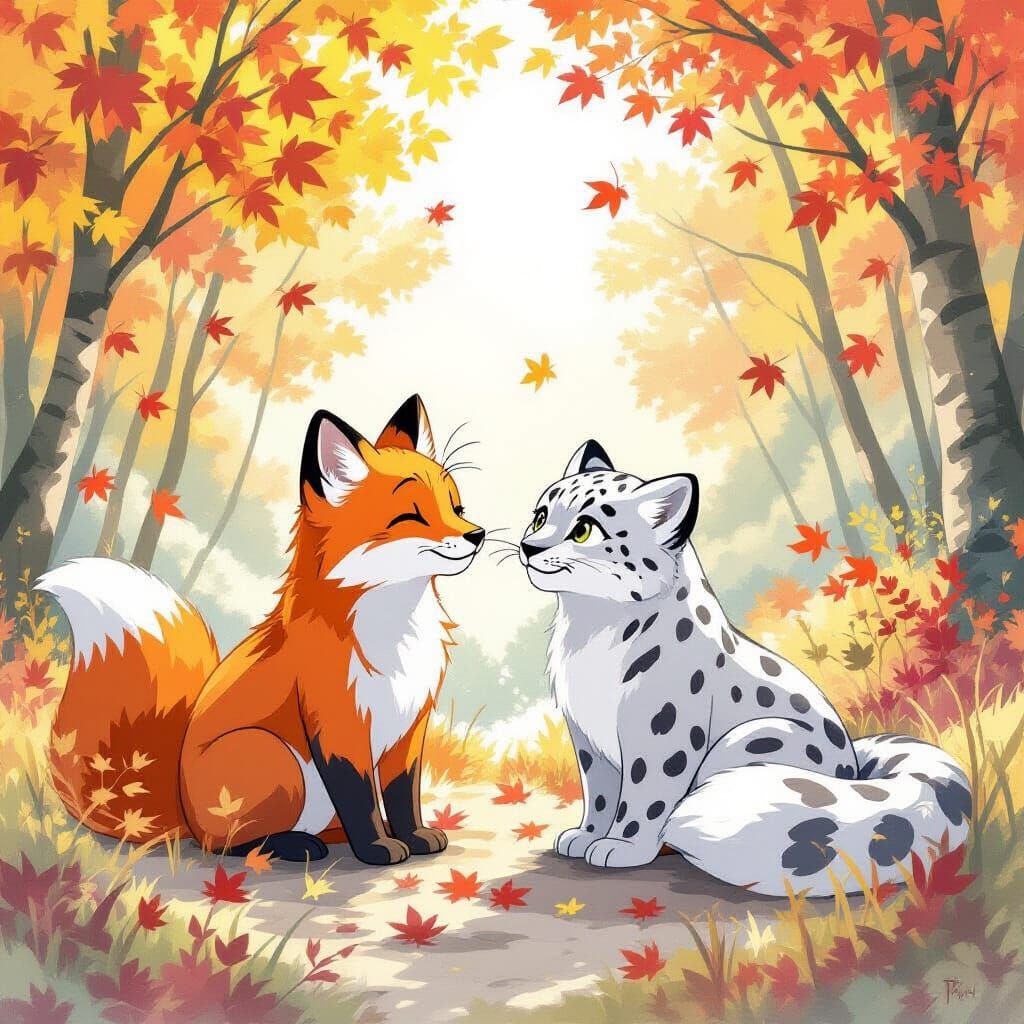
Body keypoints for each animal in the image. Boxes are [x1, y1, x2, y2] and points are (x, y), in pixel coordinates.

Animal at [38, 396, 485, 865]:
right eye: (411, 516)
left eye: (457, 508)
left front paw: (414, 837)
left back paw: (327, 838)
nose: (478, 535)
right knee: (231, 844)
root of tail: (182, 814)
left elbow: (402, 795)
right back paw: (293, 845)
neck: (395, 633)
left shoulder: (409, 726)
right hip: (276, 760)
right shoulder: (338, 726)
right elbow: (360, 798)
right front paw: (377, 847)